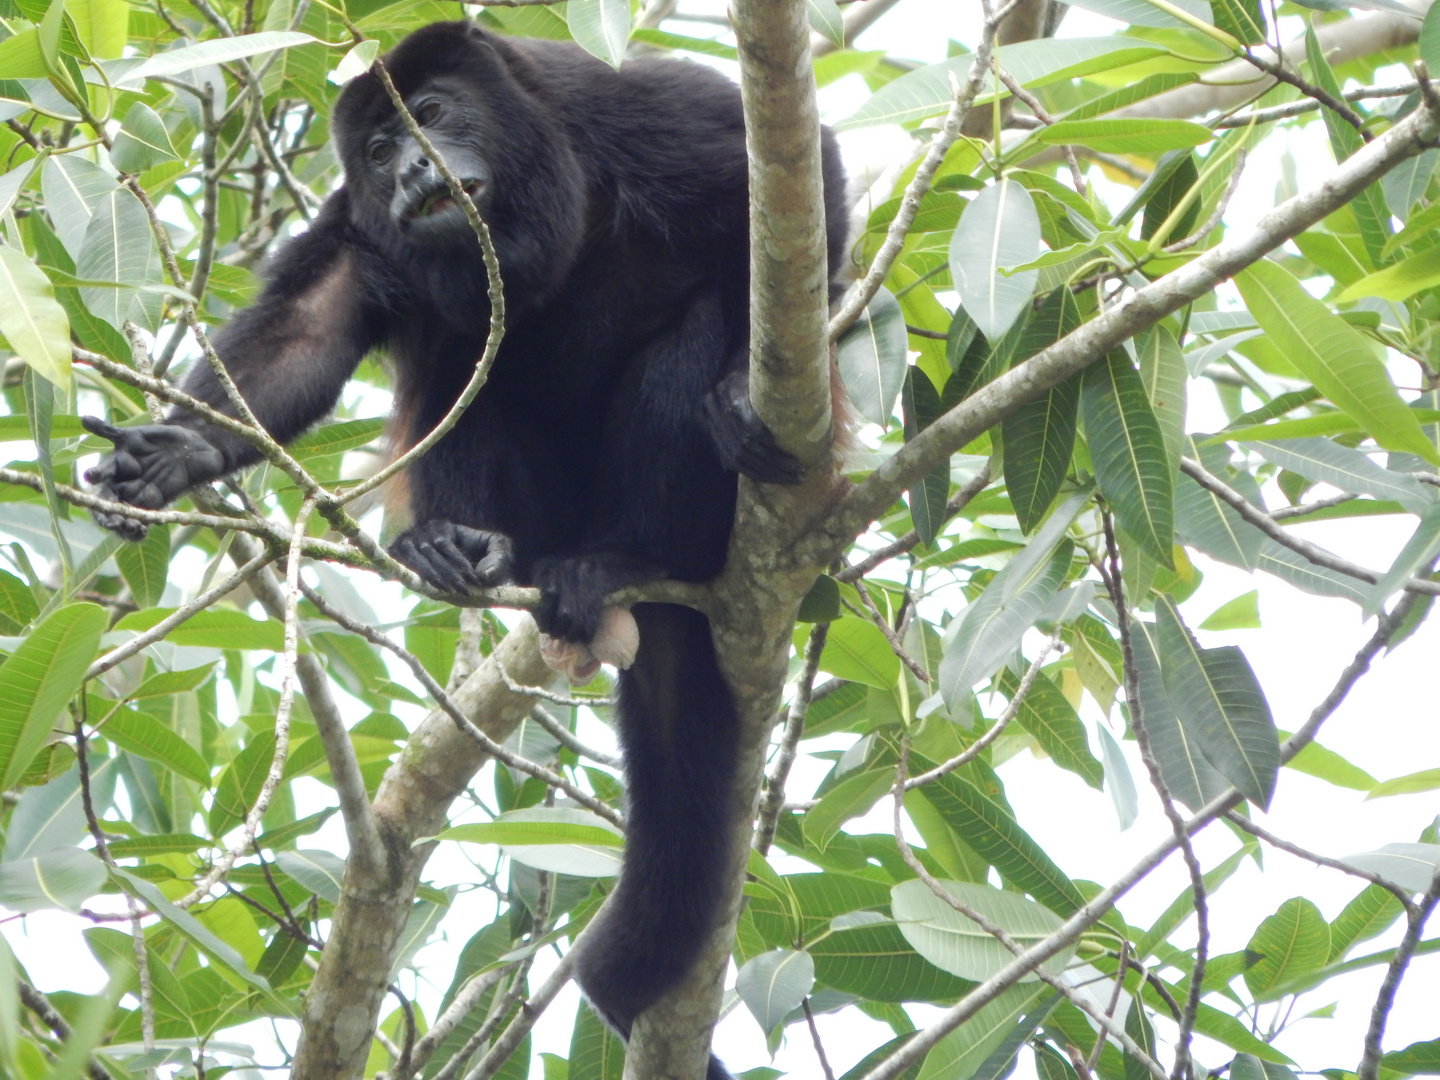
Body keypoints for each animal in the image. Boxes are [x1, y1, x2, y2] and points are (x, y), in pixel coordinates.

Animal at [84, 21, 846, 1077]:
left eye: (435, 114)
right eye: (375, 151)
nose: (411, 168)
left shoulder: (627, 112)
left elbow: (798, 181)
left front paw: (736, 389)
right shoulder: (356, 225)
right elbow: (305, 334)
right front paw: (174, 454)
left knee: (690, 325)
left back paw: (620, 556)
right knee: (459, 363)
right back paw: (456, 548)